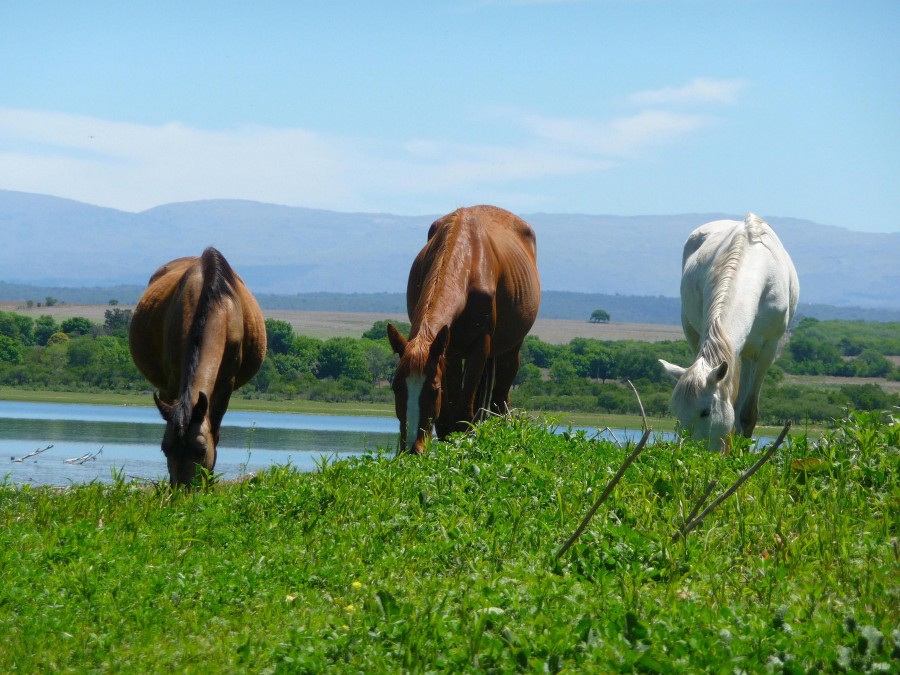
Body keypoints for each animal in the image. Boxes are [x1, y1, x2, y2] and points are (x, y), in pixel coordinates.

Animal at [129, 248, 268, 486]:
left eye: (200, 450)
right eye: (165, 449)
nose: (183, 489)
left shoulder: (226, 385)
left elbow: (215, 431)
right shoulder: (173, 382)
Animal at [384, 205, 536, 454]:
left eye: (434, 390)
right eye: (396, 387)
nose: (412, 449)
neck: (468, 260)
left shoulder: (479, 347)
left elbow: (465, 412)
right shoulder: (449, 350)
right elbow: (449, 417)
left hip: (510, 350)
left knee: (500, 401)